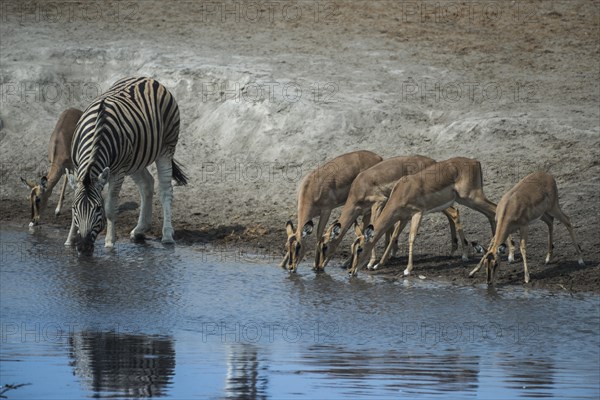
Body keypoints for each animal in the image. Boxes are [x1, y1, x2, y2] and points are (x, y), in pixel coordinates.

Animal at [65, 76, 188, 255]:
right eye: (75, 208)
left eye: (98, 209)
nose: (83, 247)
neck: (97, 132)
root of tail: (148, 79)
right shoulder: (77, 167)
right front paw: (69, 240)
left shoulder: (117, 173)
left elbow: (110, 207)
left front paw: (110, 242)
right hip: (135, 160)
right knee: (147, 183)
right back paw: (140, 229)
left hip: (166, 148)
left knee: (166, 191)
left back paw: (167, 235)